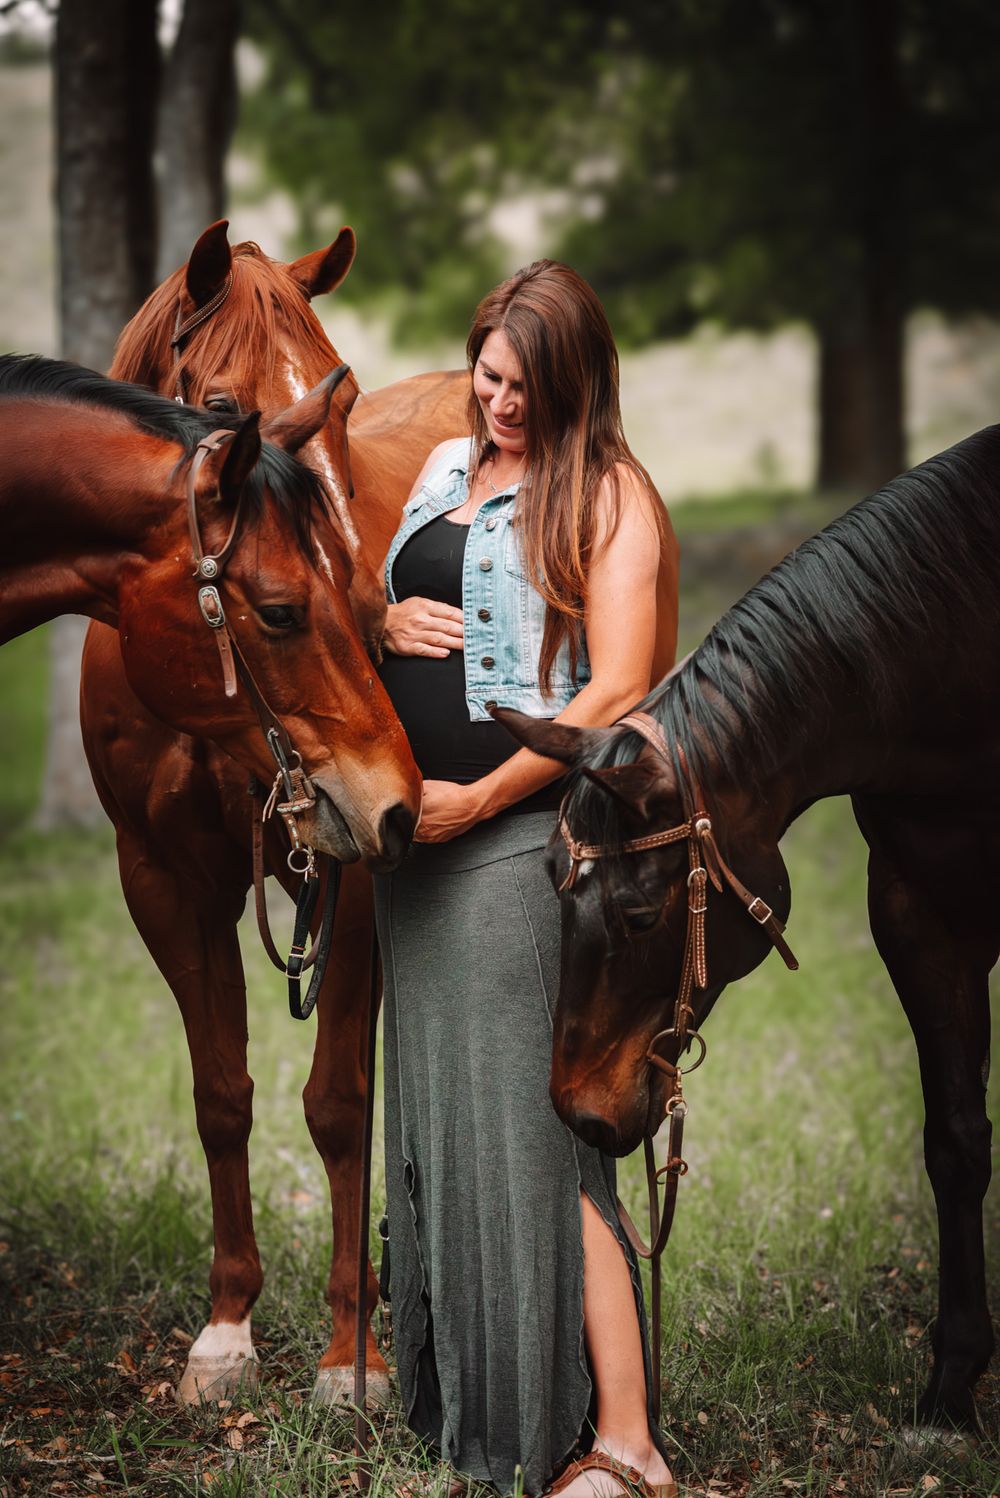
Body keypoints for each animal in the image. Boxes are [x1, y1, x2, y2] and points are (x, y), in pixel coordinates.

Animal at [79, 221, 470, 1403]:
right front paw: (225, 1333)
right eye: (220, 406)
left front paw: (351, 1361)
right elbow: (222, 1094)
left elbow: (338, 1103)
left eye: (342, 400)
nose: (369, 610)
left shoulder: (350, 865)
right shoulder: (165, 879)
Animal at [496, 428, 999, 1432]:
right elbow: (957, 1140)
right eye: (549, 884)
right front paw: (954, 1380)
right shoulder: (920, 915)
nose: (576, 1110)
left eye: (639, 914)